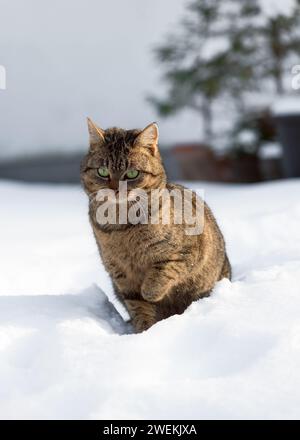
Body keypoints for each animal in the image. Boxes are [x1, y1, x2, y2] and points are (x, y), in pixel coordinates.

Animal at [81, 118, 231, 332]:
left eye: (132, 174)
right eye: (102, 172)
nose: (116, 190)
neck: (122, 227)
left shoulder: (189, 253)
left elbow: (162, 272)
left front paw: (151, 291)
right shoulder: (120, 273)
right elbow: (138, 305)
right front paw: (144, 331)